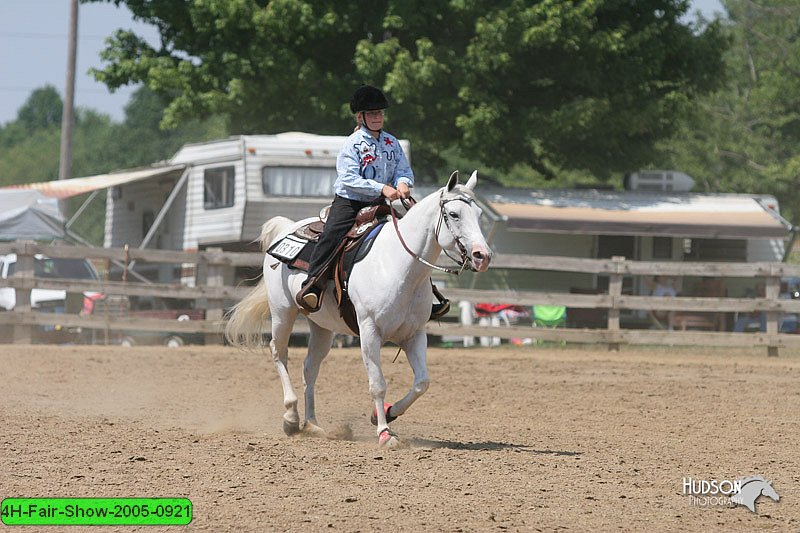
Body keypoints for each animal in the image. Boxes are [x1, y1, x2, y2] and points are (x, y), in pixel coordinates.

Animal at [222, 170, 490, 444]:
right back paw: (291, 418)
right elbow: (378, 384)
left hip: (321, 326)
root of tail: (286, 228)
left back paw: (312, 424)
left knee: (310, 368)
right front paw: (384, 432)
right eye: (454, 214)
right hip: (282, 312)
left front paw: (388, 413)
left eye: (479, 214)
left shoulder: (414, 334)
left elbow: (421, 383)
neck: (398, 266)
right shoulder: (370, 331)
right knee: (279, 352)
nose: (483, 256)